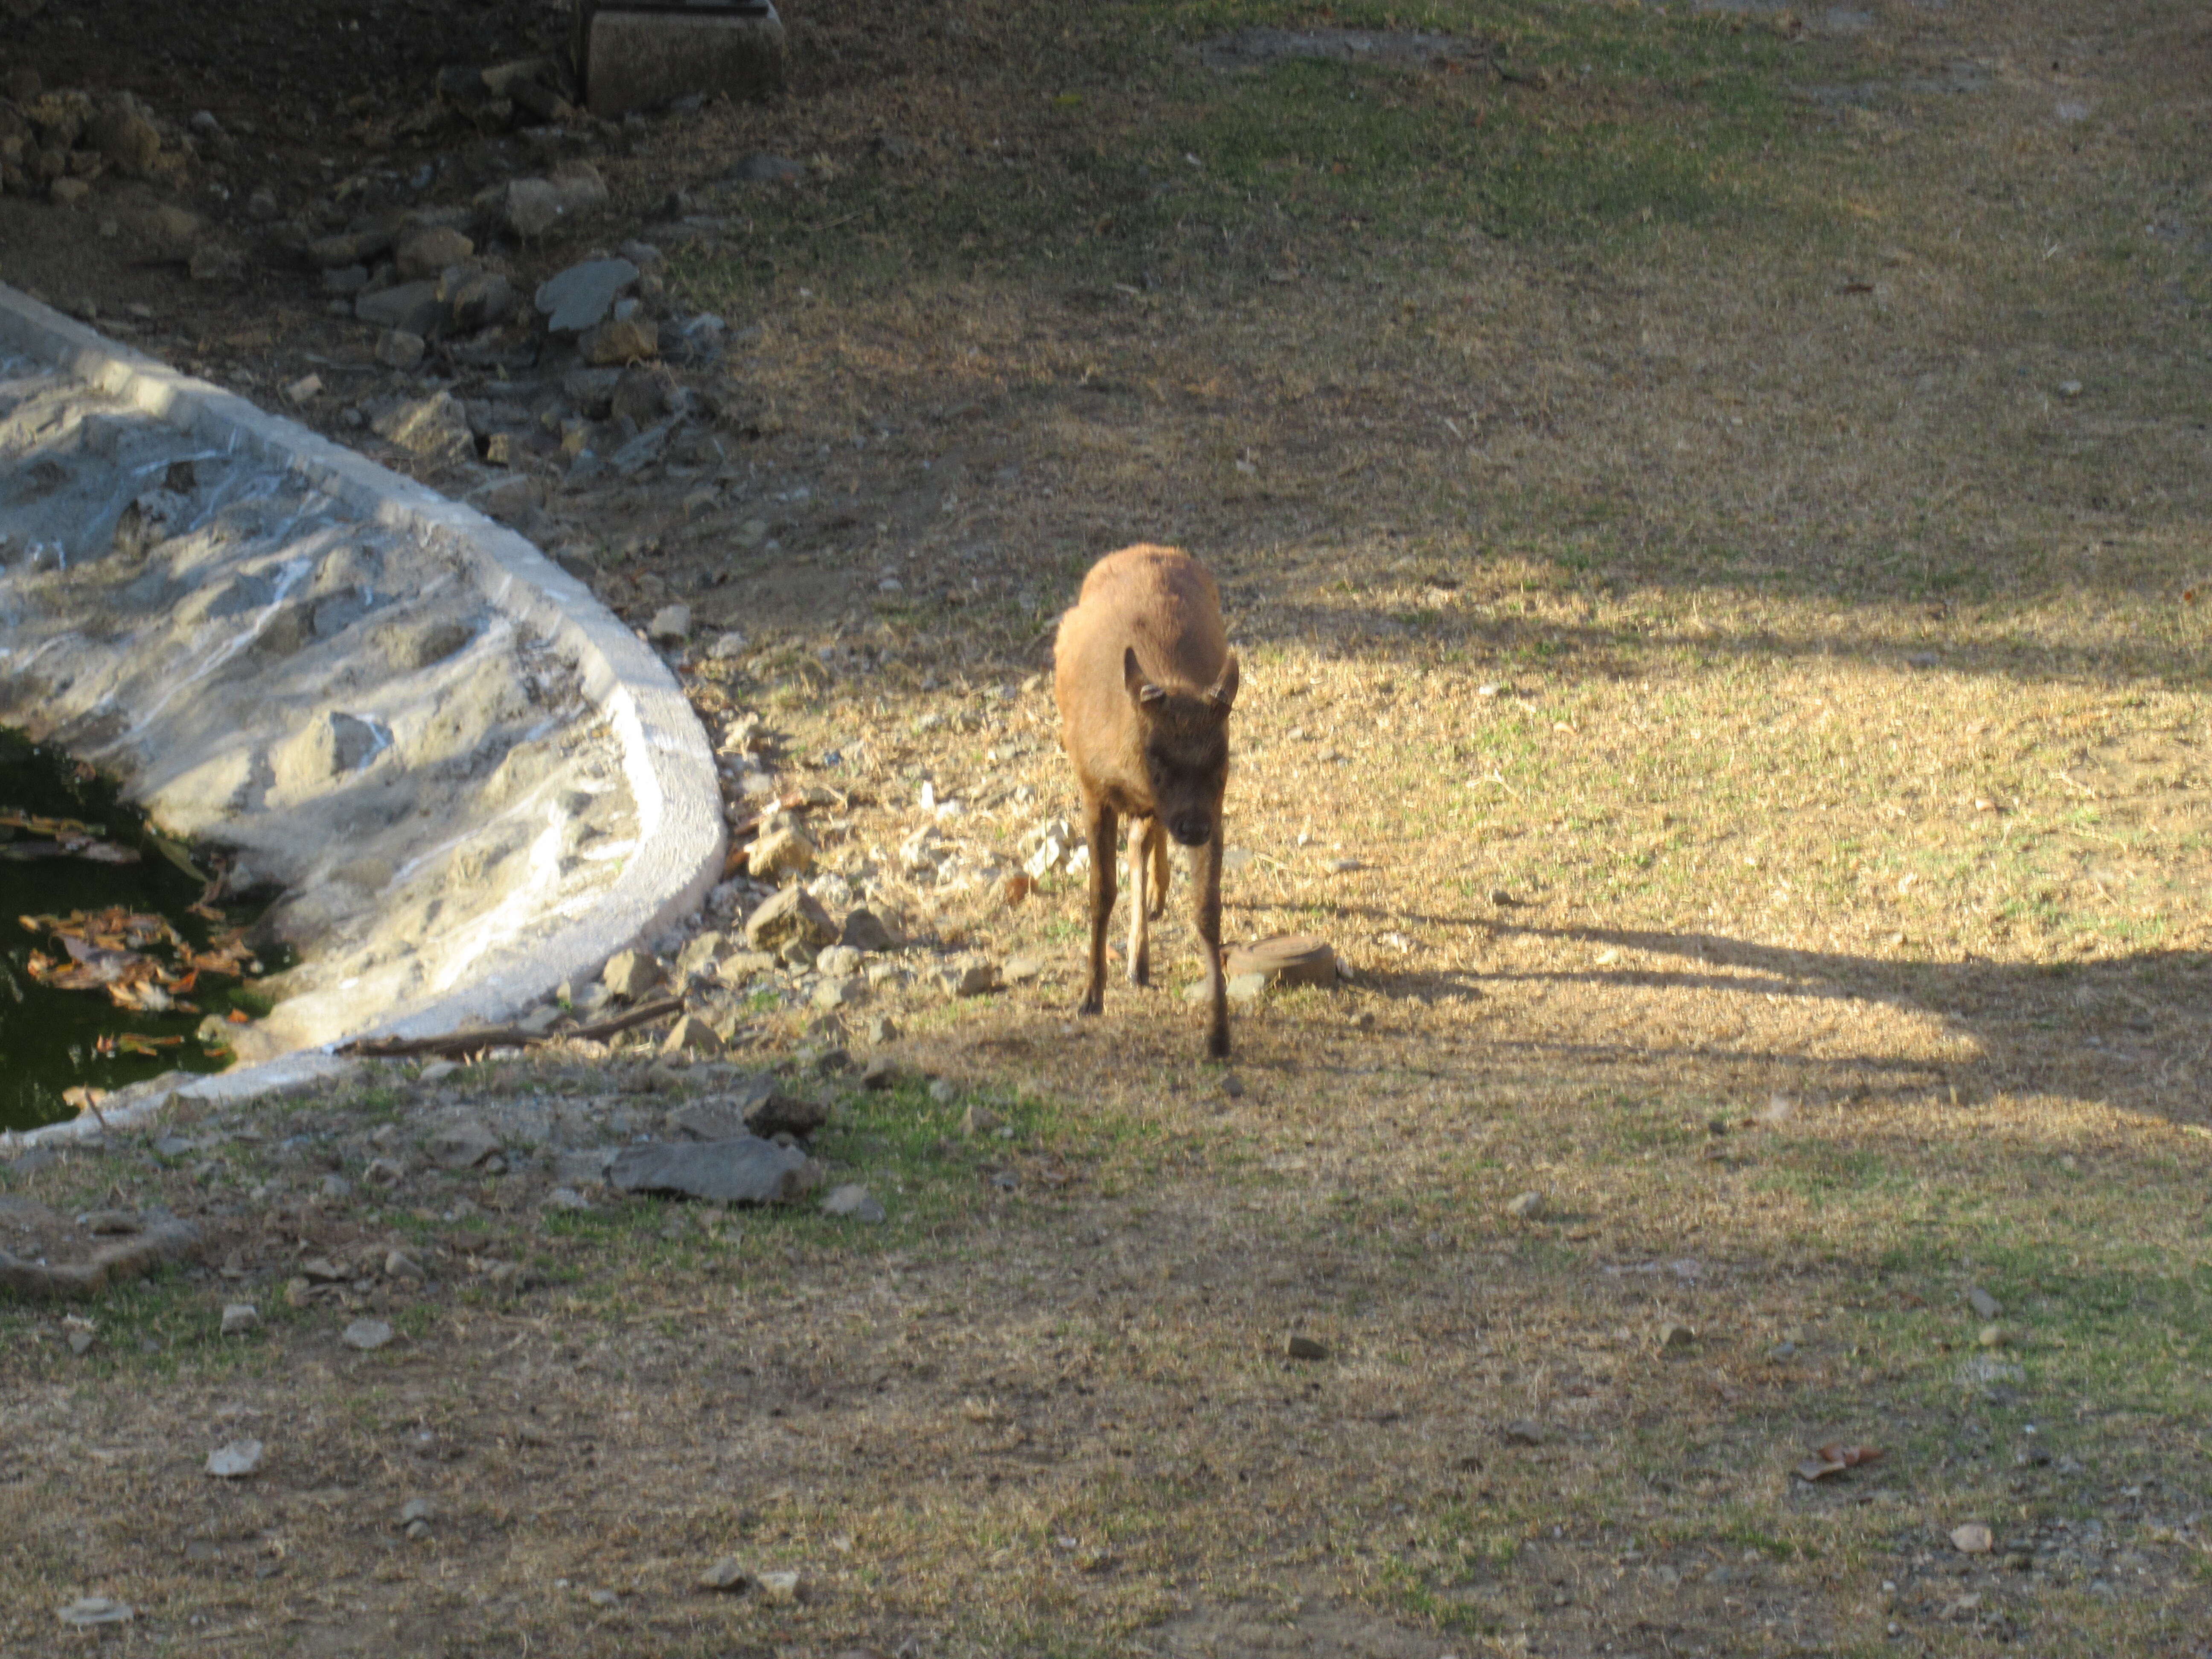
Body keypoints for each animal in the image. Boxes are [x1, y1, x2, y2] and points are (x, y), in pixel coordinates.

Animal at [1048, 548, 1239, 1066]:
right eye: (1155, 753)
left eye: (1223, 753)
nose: (1192, 829)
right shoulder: (1093, 788)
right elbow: (1100, 893)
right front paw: (1090, 996)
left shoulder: (1212, 807)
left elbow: (1207, 910)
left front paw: (1219, 1034)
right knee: (1138, 843)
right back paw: (1137, 955)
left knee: (1142, 841)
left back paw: (1146, 935)